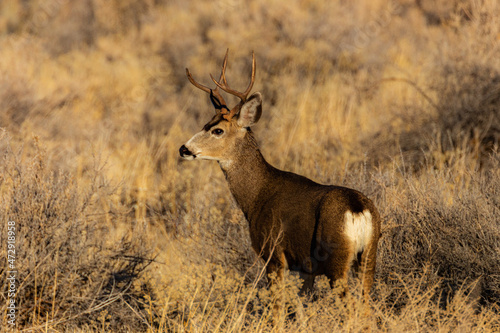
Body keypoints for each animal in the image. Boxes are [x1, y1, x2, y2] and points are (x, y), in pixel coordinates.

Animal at [182, 48, 380, 304]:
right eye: (206, 123)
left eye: (218, 130)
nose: (184, 149)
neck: (257, 195)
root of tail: (358, 209)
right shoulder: (306, 267)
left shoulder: (272, 253)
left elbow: (277, 306)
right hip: (369, 257)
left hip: (337, 259)